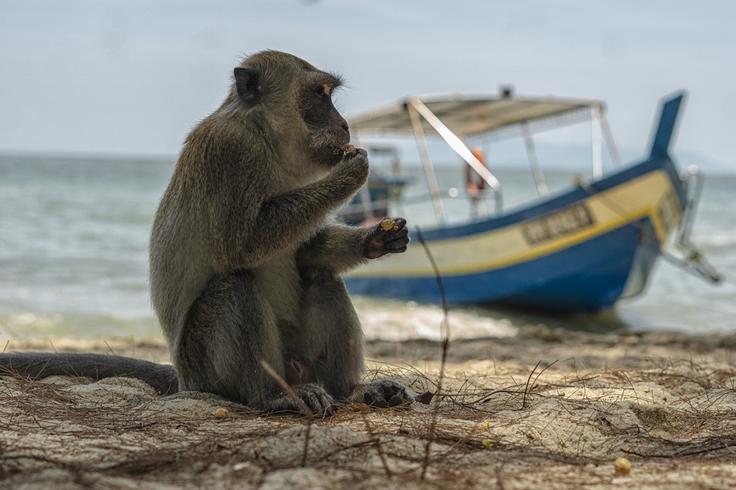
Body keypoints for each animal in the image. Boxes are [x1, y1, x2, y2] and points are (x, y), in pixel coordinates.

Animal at [0, 50, 414, 418]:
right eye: (319, 95)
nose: (344, 124)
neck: (265, 138)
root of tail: (184, 379)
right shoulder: (231, 151)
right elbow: (240, 247)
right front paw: (350, 173)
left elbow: (306, 251)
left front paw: (374, 239)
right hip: (208, 370)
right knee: (233, 286)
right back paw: (272, 396)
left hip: (297, 361)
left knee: (321, 277)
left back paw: (350, 391)